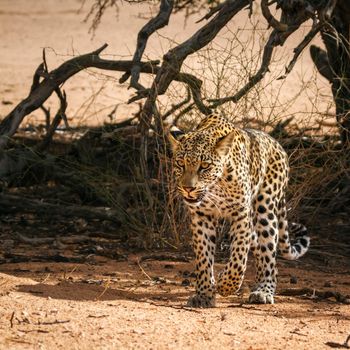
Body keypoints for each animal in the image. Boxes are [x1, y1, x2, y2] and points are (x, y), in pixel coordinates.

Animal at [168, 114, 310, 306]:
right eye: (180, 163)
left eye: (204, 166)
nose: (188, 188)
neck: (216, 186)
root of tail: (277, 145)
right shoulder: (201, 216)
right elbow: (204, 258)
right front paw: (204, 294)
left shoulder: (241, 215)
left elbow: (238, 257)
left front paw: (225, 285)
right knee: (259, 245)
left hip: (266, 207)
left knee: (268, 252)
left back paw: (263, 290)